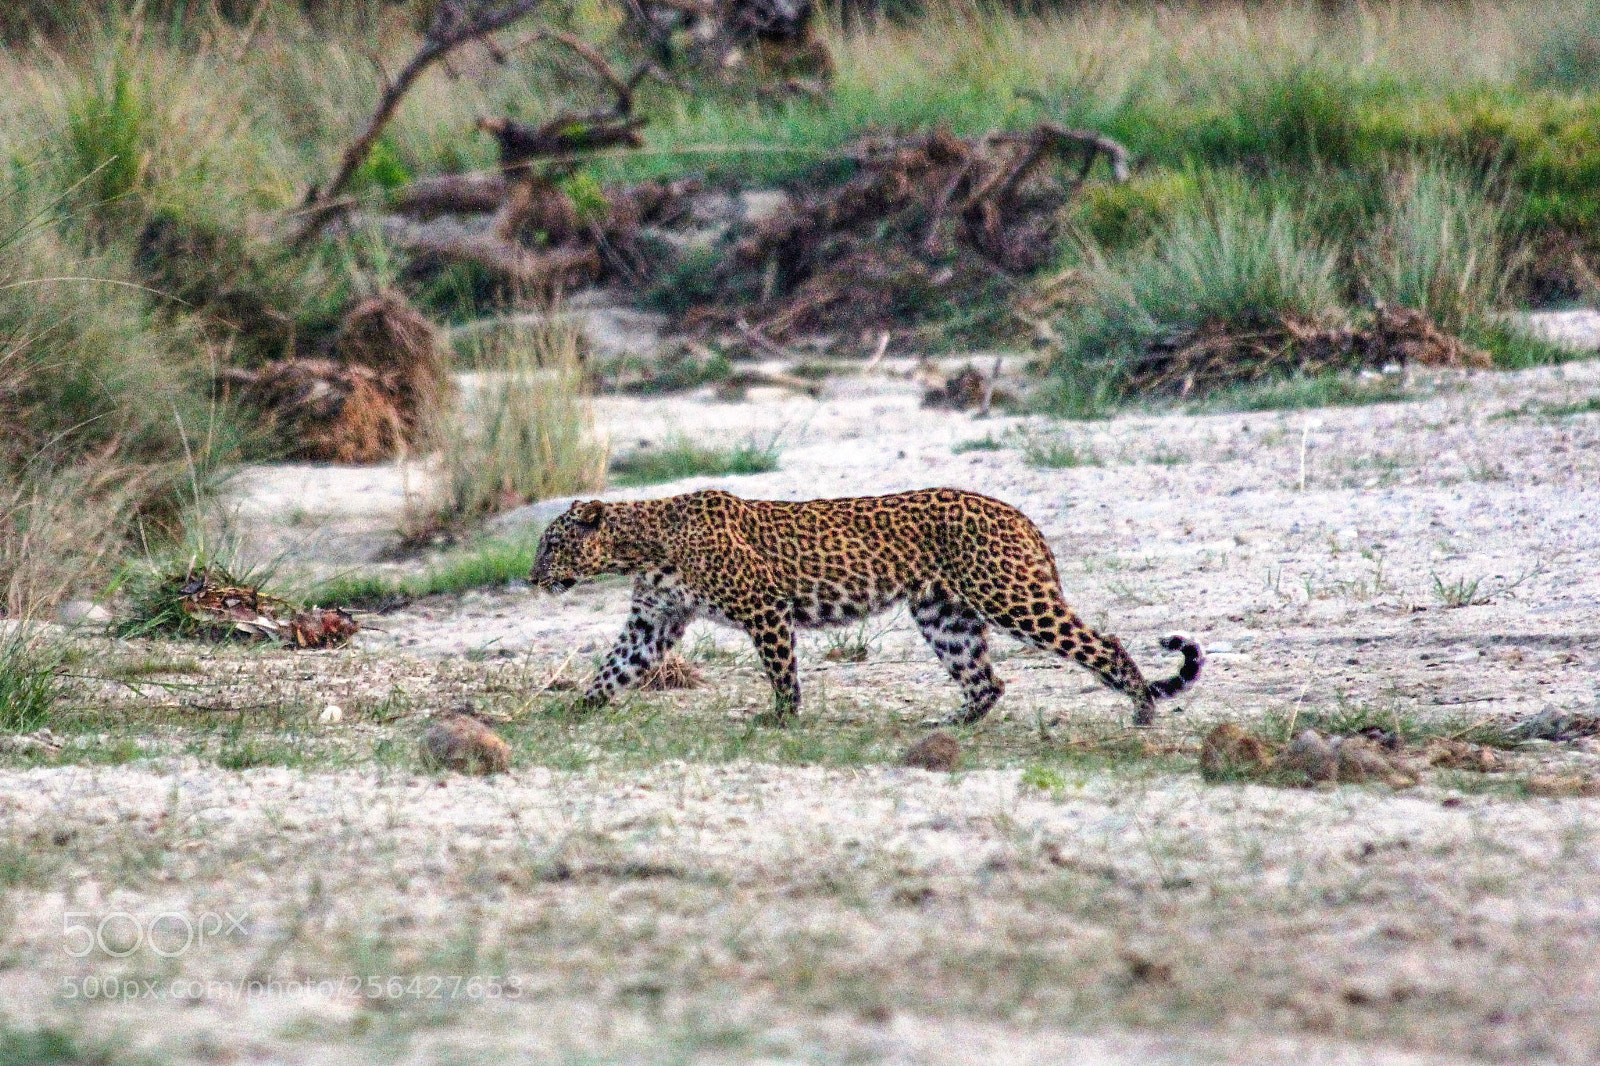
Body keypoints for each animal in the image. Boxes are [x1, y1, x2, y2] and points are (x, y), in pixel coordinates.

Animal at [531, 488, 1203, 726]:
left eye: (551, 544)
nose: (533, 577)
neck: (641, 546)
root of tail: (1020, 516)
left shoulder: (764, 608)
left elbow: (781, 670)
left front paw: (782, 718)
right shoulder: (653, 621)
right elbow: (612, 669)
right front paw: (571, 712)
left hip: (1011, 597)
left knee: (1102, 643)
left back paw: (1143, 707)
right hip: (943, 614)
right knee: (986, 680)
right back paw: (951, 725)